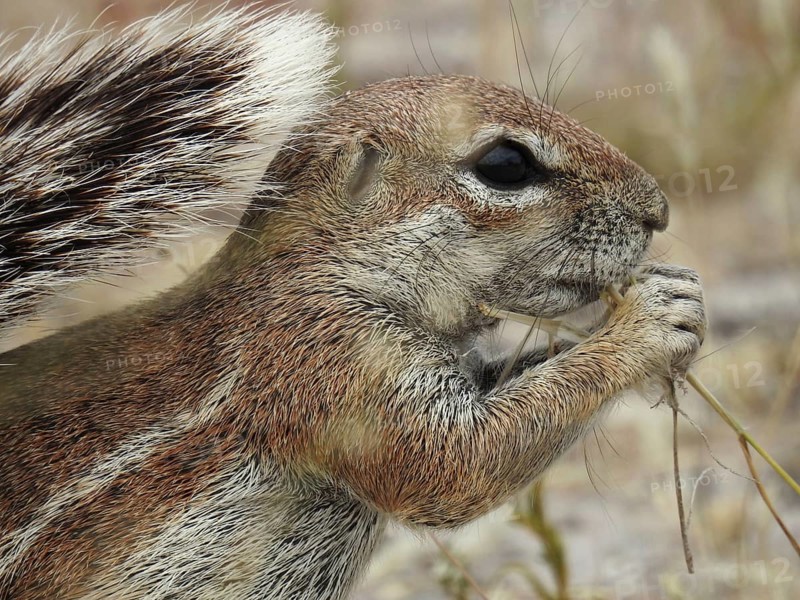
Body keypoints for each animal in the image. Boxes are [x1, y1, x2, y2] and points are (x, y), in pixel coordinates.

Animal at [0, 5, 707, 600]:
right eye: (507, 163)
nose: (659, 212)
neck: (325, 269)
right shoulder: (330, 356)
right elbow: (454, 467)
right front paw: (648, 321)